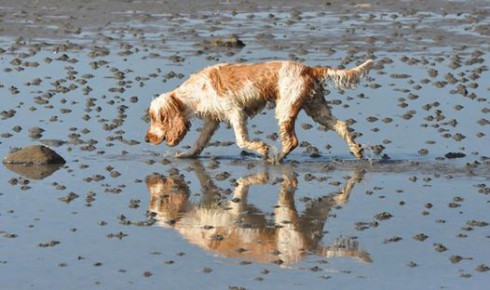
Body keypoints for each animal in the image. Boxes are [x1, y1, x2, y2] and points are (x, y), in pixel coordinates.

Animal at [144, 58, 374, 161]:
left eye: (155, 118)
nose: (147, 139)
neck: (195, 91)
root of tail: (309, 69)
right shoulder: (212, 120)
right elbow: (199, 142)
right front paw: (186, 154)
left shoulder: (235, 112)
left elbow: (241, 140)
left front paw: (261, 149)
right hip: (317, 109)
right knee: (342, 125)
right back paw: (356, 150)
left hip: (285, 109)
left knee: (292, 141)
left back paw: (276, 157)